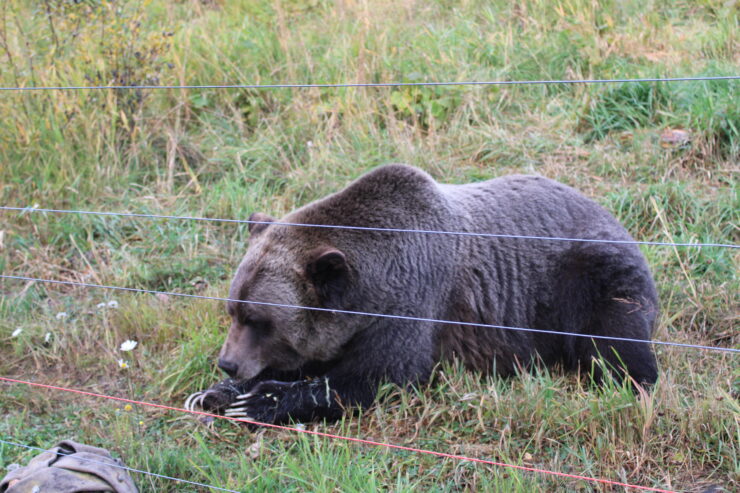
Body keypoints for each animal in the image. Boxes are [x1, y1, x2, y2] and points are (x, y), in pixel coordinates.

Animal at [184, 164, 659, 425]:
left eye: (259, 320)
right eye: (232, 311)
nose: (228, 363)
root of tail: (615, 219)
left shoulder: (414, 304)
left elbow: (377, 377)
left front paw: (256, 402)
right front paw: (212, 393)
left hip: (585, 276)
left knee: (615, 341)